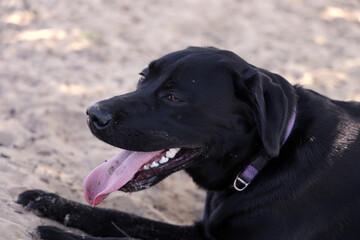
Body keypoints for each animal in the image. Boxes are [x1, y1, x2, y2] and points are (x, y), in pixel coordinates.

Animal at [17, 47, 360, 240]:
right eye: (142, 77)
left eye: (174, 97)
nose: (93, 114)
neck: (261, 163)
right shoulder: (200, 231)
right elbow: (124, 219)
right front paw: (51, 201)